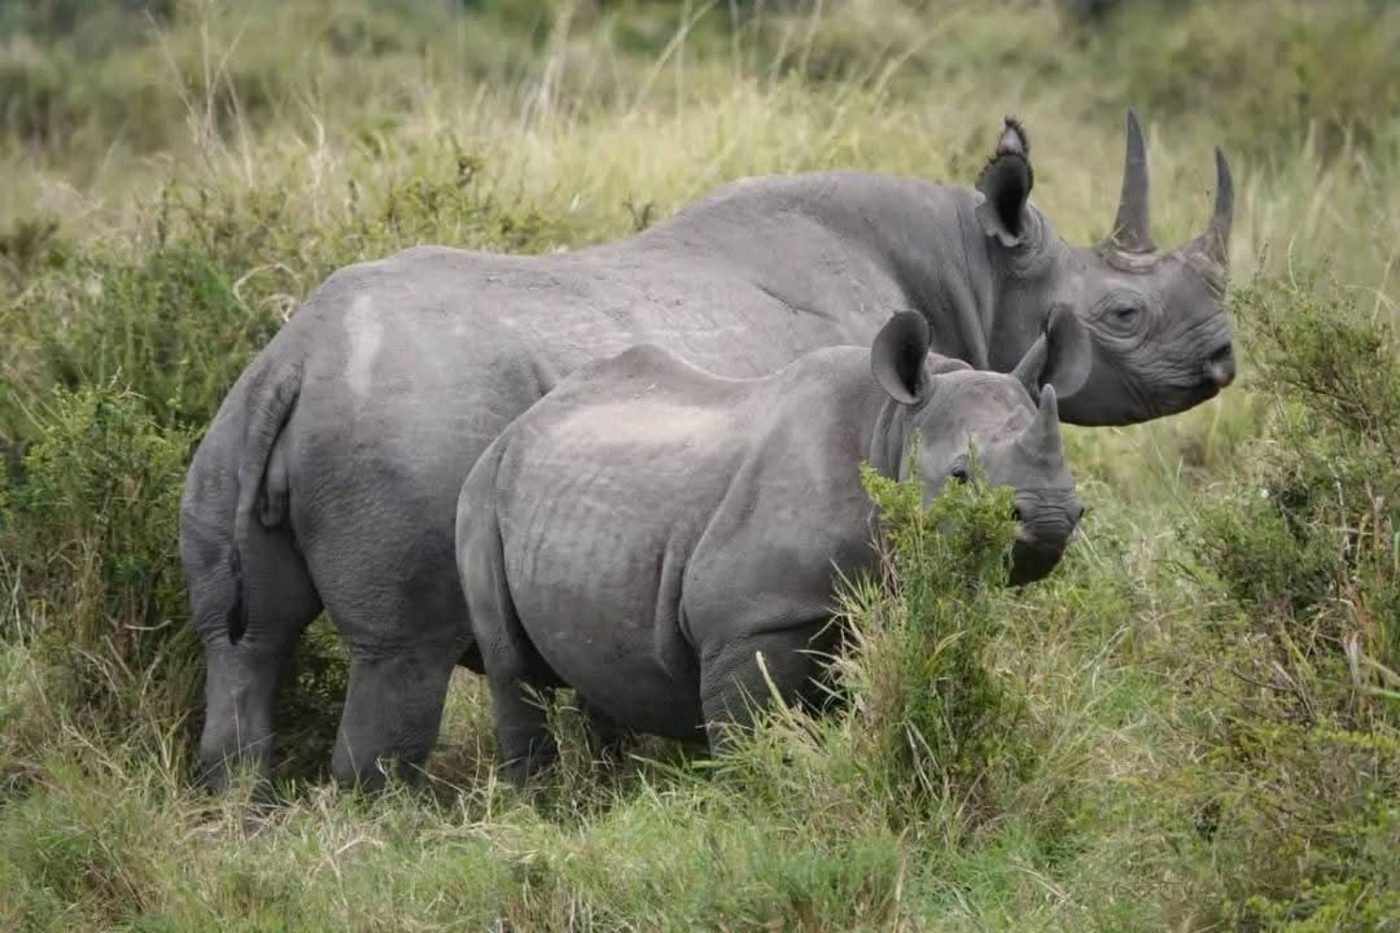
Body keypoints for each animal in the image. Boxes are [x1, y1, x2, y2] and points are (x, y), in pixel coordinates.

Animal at [455, 312, 1081, 783]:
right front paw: (748, 809)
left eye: (1069, 472)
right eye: (958, 476)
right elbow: (746, 735)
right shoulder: (749, 623)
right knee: (513, 666)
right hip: (482, 492)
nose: (1051, 518)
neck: (892, 427)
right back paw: (543, 805)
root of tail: (521, 421)